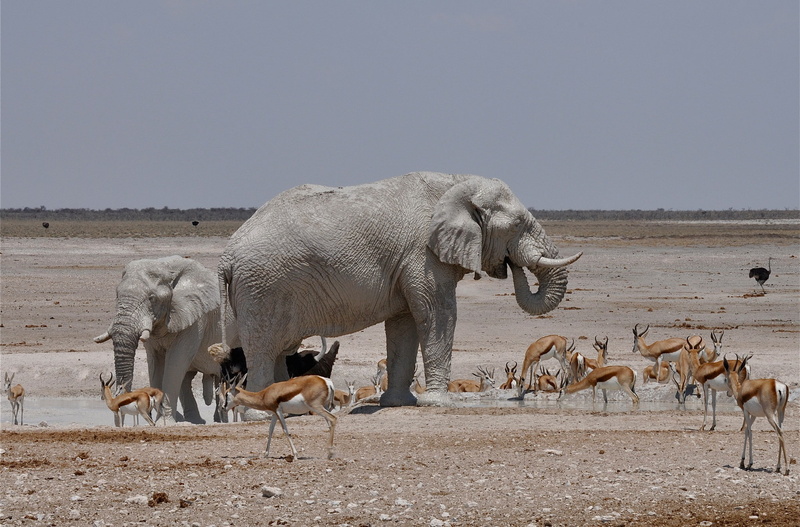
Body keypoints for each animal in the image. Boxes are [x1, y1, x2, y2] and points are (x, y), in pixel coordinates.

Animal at [94, 256, 239, 424]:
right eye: (117, 295)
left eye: (152, 298)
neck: (165, 266)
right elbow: (156, 365)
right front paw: (163, 421)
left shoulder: (195, 319)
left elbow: (175, 363)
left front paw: (165, 422)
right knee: (187, 379)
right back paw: (195, 421)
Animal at [216, 171, 581, 407]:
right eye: (517, 225)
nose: (511, 264)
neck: (455, 183)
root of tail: (226, 257)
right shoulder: (423, 254)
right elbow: (437, 315)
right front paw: (437, 402)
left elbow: (404, 325)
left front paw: (399, 403)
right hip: (261, 287)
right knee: (263, 348)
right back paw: (257, 411)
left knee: (277, 349)